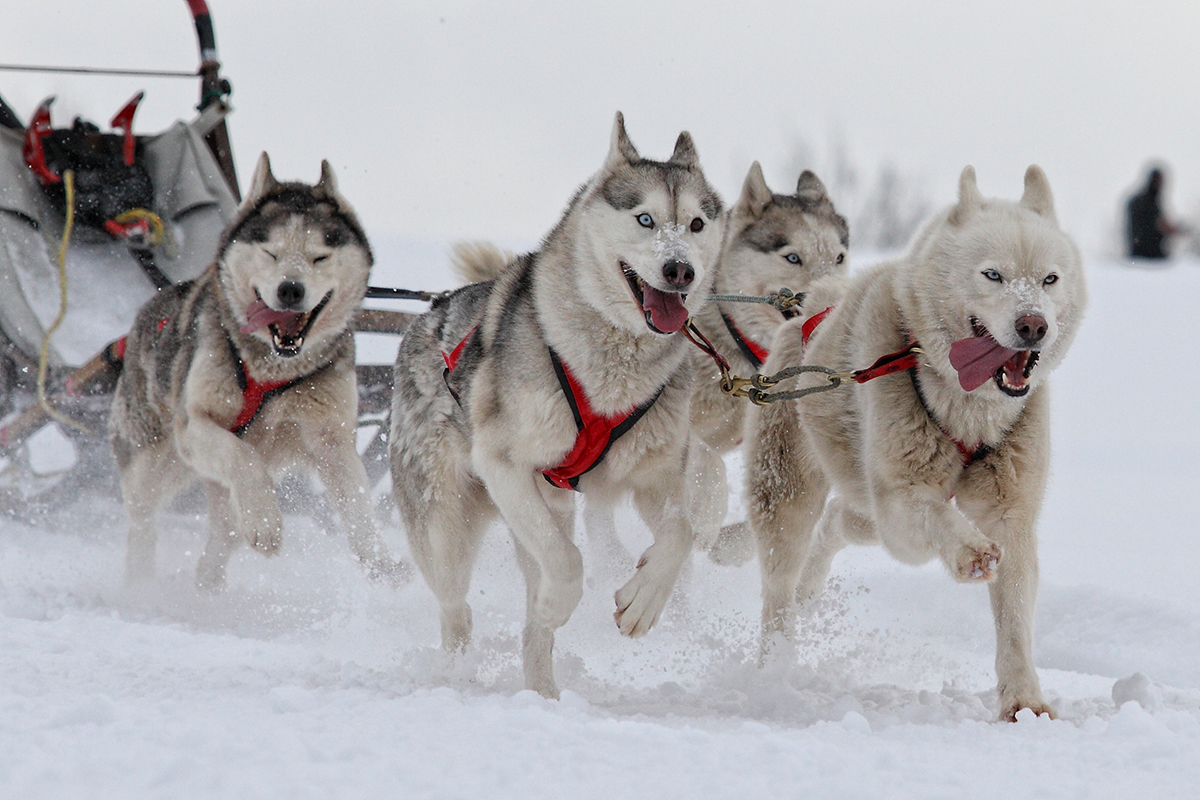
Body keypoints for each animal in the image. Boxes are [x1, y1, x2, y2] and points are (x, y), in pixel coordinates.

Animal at [112, 153, 403, 587]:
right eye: (270, 253)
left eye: (320, 256)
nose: (291, 289)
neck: (271, 371)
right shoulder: (196, 425)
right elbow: (242, 456)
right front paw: (266, 523)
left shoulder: (331, 439)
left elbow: (358, 507)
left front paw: (381, 564)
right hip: (154, 462)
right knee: (143, 521)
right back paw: (141, 584)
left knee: (224, 531)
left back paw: (208, 580)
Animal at [393, 113, 724, 700]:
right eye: (645, 219)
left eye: (696, 224)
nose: (680, 269)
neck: (611, 368)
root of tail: (427, 314)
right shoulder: (504, 466)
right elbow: (567, 565)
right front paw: (557, 602)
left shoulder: (657, 475)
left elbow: (683, 529)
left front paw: (643, 600)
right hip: (446, 531)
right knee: (457, 610)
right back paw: (459, 675)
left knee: (530, 625)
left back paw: (543, 694)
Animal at [744, 167, 1084, 719]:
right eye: (993, 275)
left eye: (1049, 279)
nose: (1033, 324)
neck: (971, 410)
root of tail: (812, 302)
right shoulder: (902, 502)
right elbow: (938, 516)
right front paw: (969, 548)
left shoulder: (1011, 513)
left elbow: (1015, 617)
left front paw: (1024, 701)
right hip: (792, 495)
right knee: (779, 586)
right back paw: (774, 669)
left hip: (863, 508)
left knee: (837, 523)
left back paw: (812, 586)